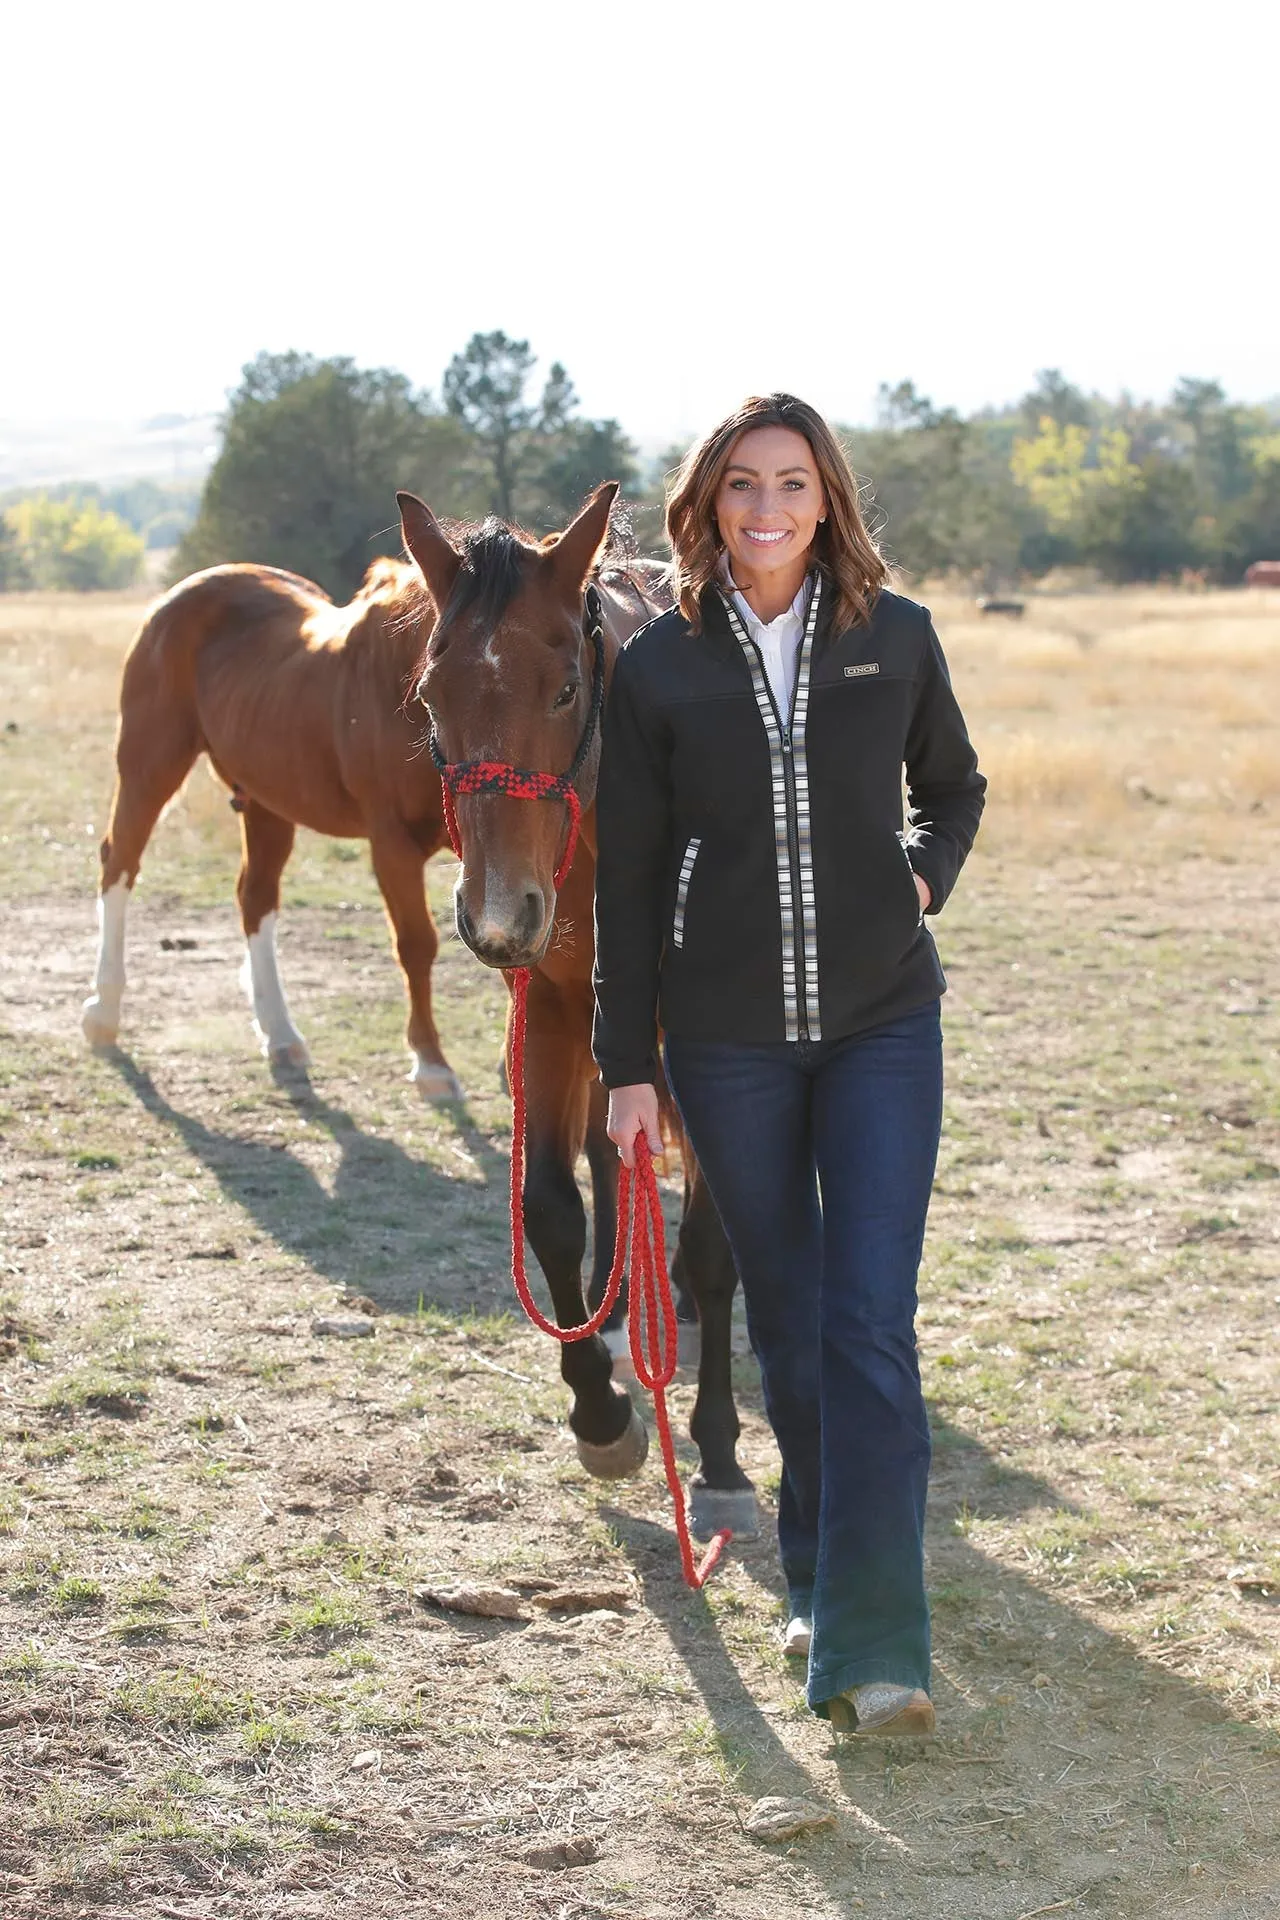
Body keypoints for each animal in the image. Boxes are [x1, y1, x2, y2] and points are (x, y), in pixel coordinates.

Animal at [81, 556, 460, 1098]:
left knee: (255, 897)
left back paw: (279, 1034)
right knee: (120, 865)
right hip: (149, 766)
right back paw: (104, 1014)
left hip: (266, 801)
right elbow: (417, 944)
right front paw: (432, 1066)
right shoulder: (394, 845)